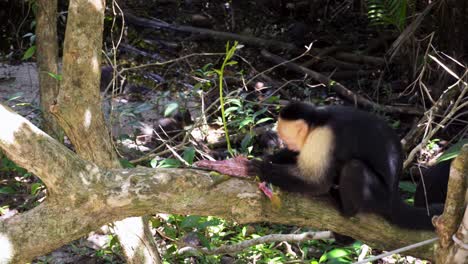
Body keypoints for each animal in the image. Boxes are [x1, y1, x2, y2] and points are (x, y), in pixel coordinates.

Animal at [249, 102, 442, 230]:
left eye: (287, 139)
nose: (286, 144)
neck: (317, 121)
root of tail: (393, 198)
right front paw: (271, 158)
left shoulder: (321, 137)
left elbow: (317, 183)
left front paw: (259, 168)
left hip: (379, 198)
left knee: (353, 167)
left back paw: (346, 208)